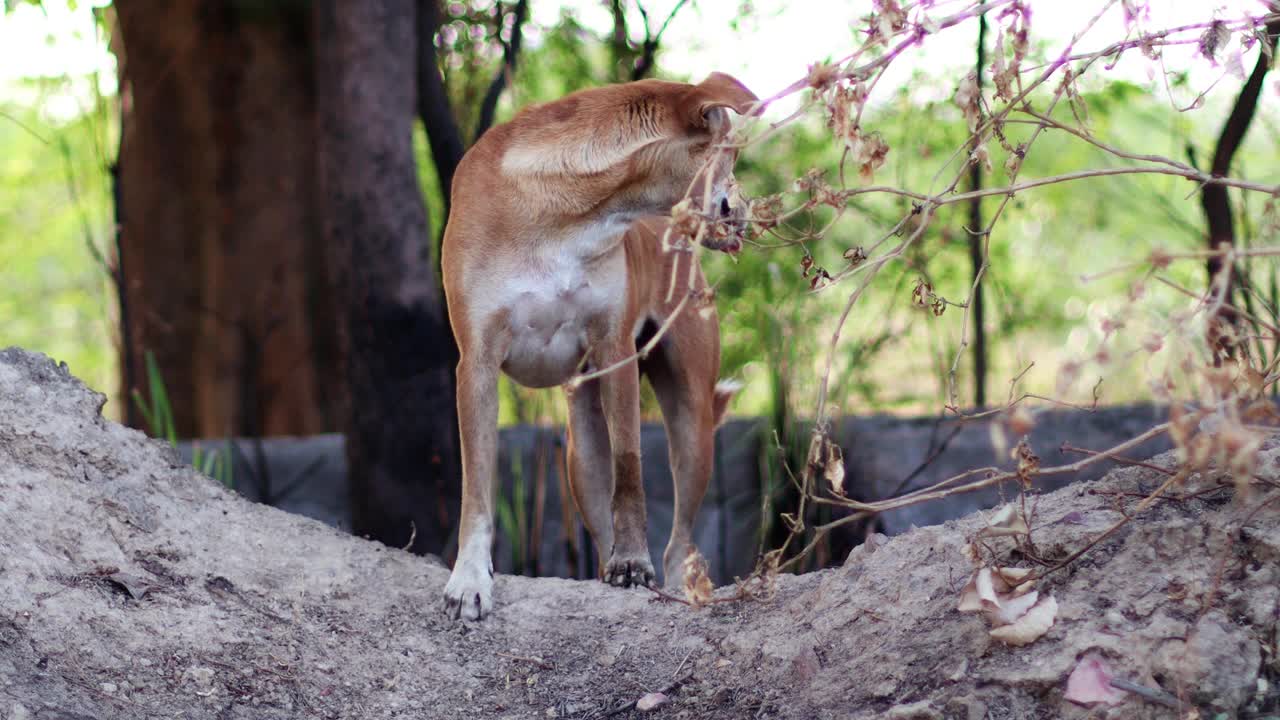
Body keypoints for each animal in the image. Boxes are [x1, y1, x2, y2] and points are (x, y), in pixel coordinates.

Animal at [442, 73, 757, 617]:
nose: (748, 212)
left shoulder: (615, 350)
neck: (564, 211)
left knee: (679, 536)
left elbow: (630, 470)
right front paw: (469, 580)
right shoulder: (476, 365)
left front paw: (632, 561)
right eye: (731, 155)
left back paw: (667, 580)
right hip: (580, 450)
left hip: (693, 421)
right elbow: (476, 490)